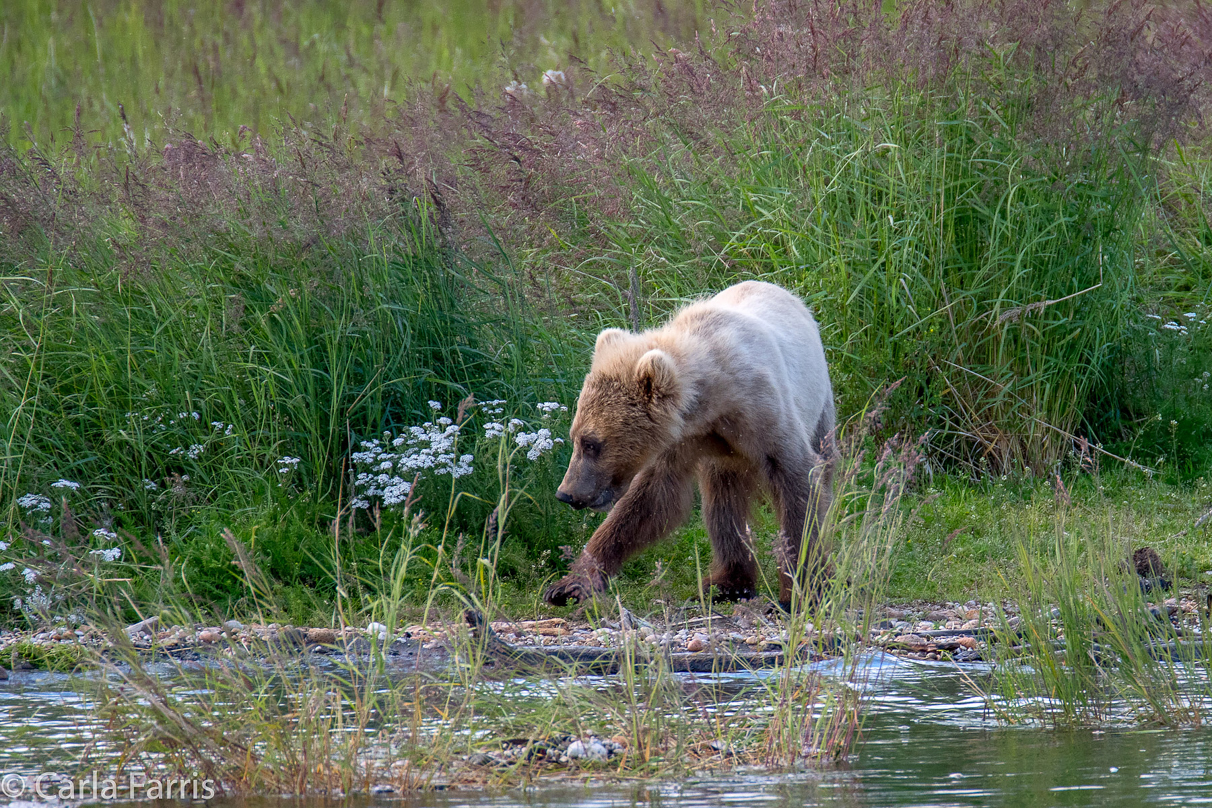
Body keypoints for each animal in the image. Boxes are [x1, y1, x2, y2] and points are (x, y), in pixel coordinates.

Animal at [547, 281, 833, 610]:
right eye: (575, 437)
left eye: (592, 443)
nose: (566, 493)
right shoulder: (681, 439)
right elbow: (650, 500)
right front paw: (570, 584)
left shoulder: (764, 414)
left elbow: (797, 486)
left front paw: (802, 590)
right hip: (723, 461)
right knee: (723, 502)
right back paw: (726, 584)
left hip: (821, 405)